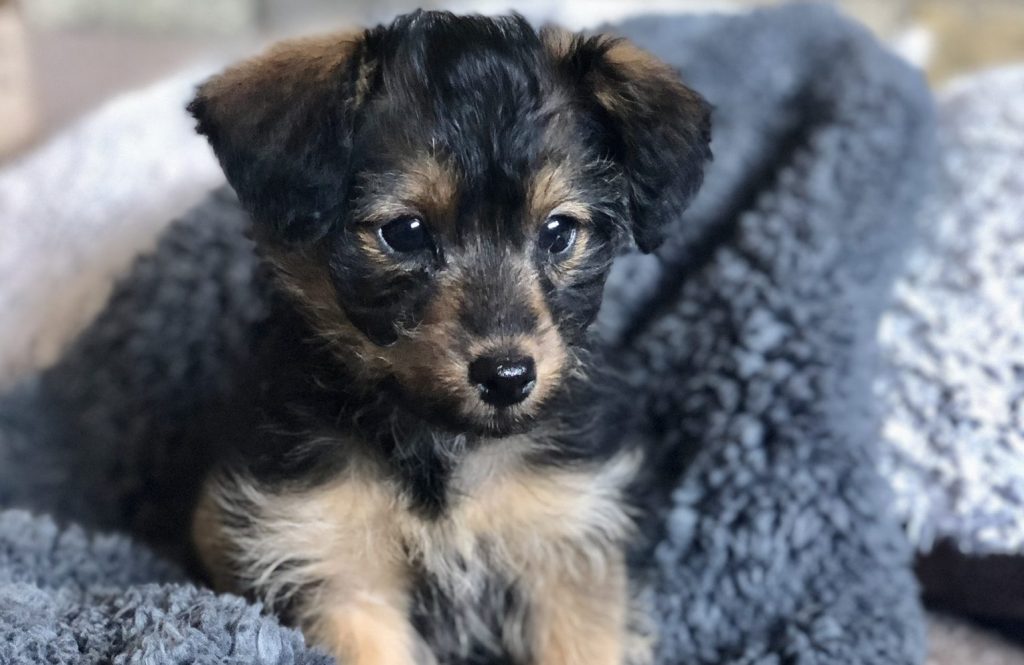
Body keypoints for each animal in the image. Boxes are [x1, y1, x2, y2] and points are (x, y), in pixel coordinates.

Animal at [188, 10, 708, 663]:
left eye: (559, 231)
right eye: (405, 232)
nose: (507, 377)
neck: (440, 445)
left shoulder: (566, 538)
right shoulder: (332, 565)